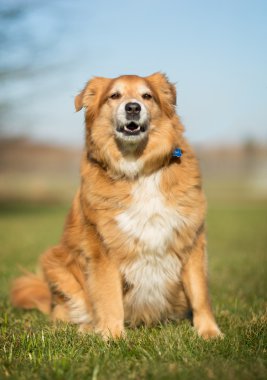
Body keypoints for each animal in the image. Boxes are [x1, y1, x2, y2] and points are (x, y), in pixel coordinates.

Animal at [11, 72, 222, 340]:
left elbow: (200, 293)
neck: (138, 170)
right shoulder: (104, 247)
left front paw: (209, 332)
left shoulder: (191, 239)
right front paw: (112, 336)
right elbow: (108, 296)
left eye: (147, 96)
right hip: (56, 263)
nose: (133, 107)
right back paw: (87, 328)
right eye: (114, 95)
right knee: (65, 316)